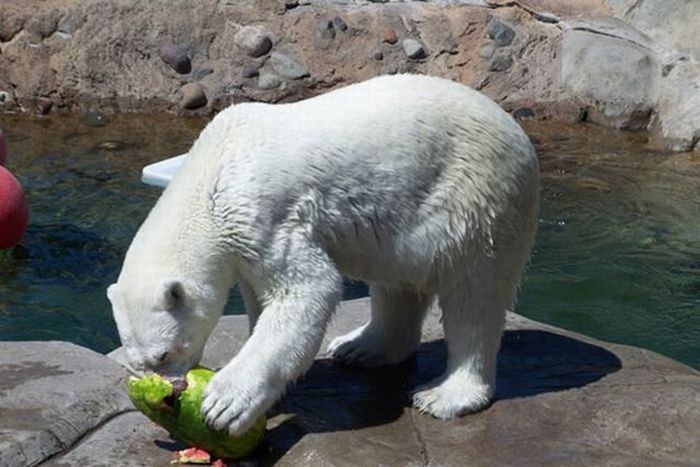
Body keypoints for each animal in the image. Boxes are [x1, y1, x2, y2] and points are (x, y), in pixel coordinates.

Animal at [106, 75, 540, 436]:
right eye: (137, 363)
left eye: (164, 353)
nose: (170, 390)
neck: (212, 173)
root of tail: (519, 135)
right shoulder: (243, 244)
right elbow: (261, 298)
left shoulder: (263, 216)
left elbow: (307, 289)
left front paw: (224, 402)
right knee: (397, 279)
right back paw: (361, 347)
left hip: (479, 201)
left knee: (475, 297)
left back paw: (445, 395)